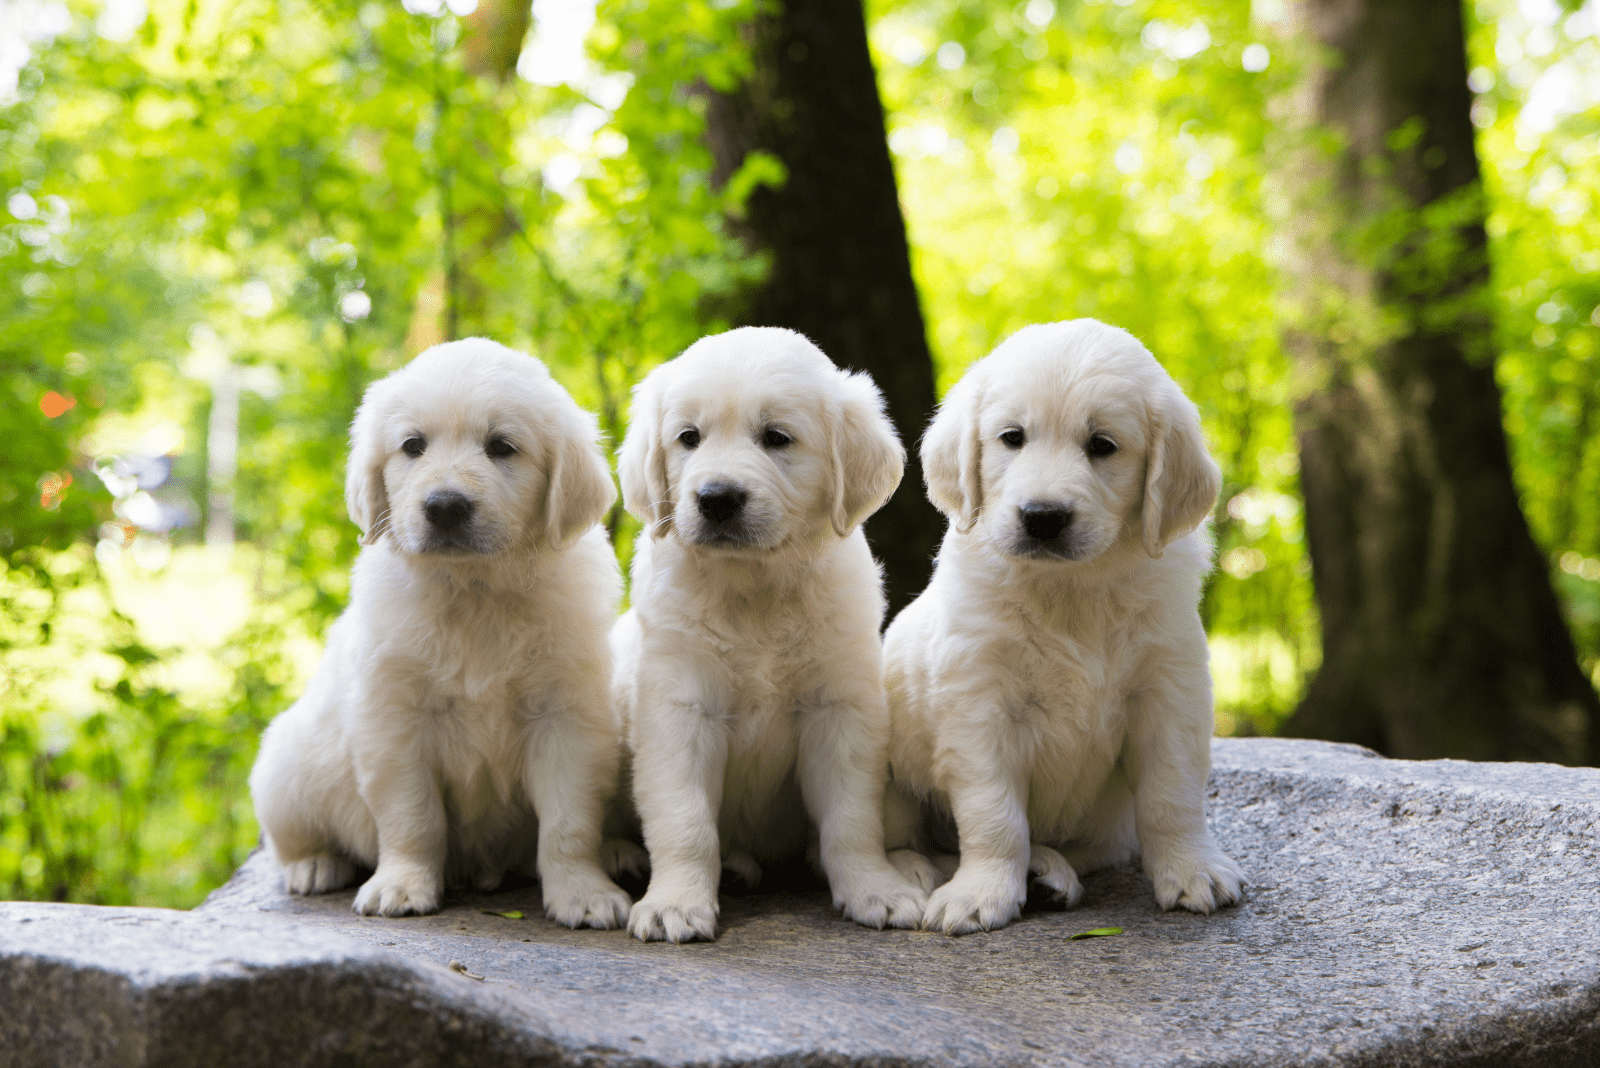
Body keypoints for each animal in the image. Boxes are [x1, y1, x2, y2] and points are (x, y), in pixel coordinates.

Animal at [243, 340, 630, 927]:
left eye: (502, 447)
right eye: (412, 446)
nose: (445, 506)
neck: (474, 590)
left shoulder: (568, 716)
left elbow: (570, 821)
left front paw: (583, 892)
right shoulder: (395, 719)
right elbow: (412, 816)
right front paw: (402, 886)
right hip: (286, 766)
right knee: (291, 835)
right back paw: (314, 865)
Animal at [611, 327, 928, 940]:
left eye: (777, 438)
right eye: (688, 437)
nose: (717, 498)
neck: (753, 589)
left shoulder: (839, 708)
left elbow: (852, 818)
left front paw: (874, 889)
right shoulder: (679, 709)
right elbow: (684, 820)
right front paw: (675, 903)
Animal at [883, 319, 1241, 933]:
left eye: (1102, 445)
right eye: (1012, 437)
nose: (1043, 517)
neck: (1073, 590)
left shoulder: (1169, 689)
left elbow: (1171, 795)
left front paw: (1193, 869)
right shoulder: (979, 705)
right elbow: (994, 813)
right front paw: (981, 891)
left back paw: (1049, 871)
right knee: (902, 840)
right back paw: (920, 871)